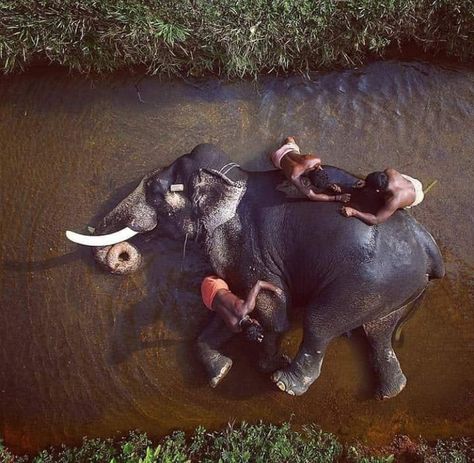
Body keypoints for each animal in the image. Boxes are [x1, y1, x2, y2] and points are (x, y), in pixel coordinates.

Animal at [66, 144, 444, 398]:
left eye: (156, 194)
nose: (121, 255)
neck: (233, 178)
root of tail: (429, 251)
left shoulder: (244, 243)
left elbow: (270, 306)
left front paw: (267, 364)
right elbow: (229, 306)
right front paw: (220, 373)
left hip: (367, 282)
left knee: (320, 323)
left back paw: (285, 383)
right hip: (393, 290)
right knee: (379, 332)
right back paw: (389, 392)